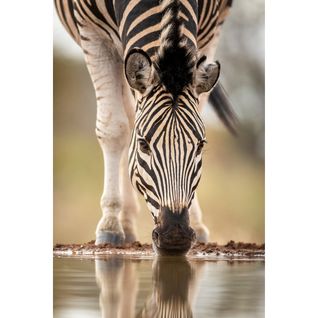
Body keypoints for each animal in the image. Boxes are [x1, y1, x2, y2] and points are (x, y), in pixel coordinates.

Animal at [54, 0, 236, 253]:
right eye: (143, 145)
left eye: (201, 145)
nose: (175, 236)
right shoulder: (91, 31)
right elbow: (113, 128)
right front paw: (109, 225)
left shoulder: (211, 29)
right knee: (128, 119)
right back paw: (124, 225)